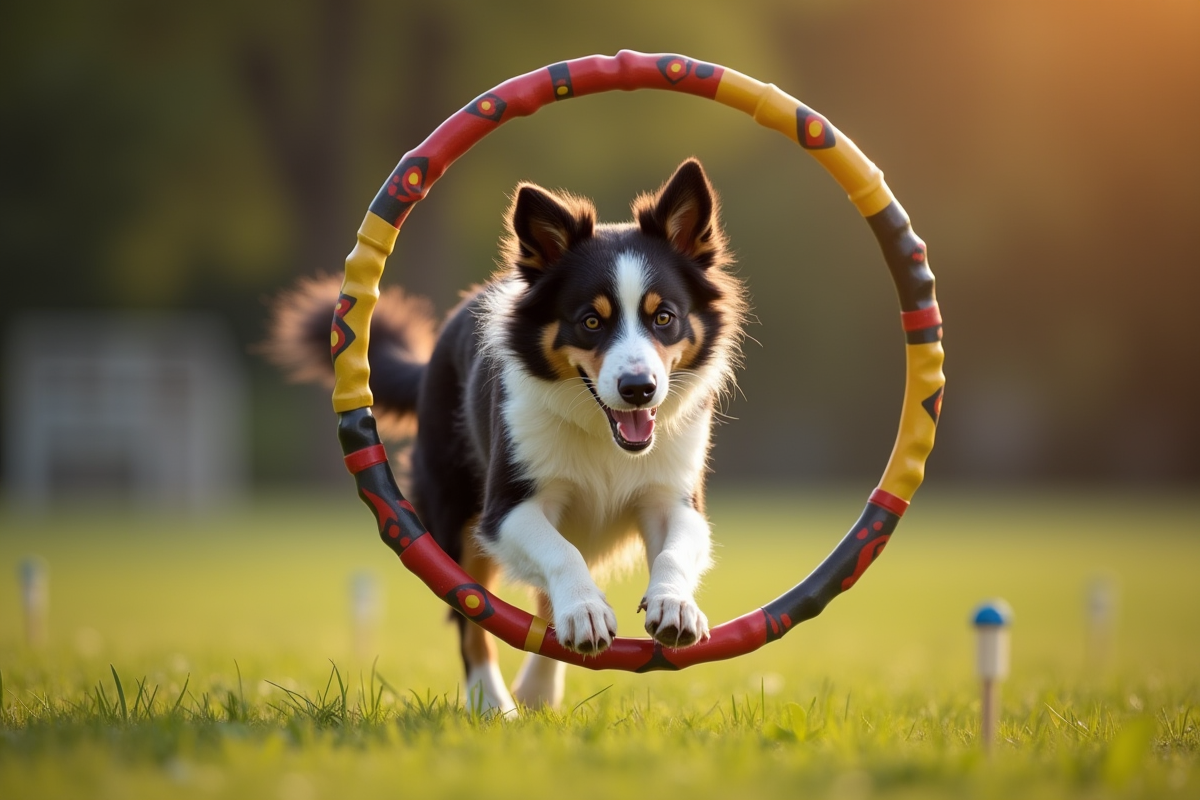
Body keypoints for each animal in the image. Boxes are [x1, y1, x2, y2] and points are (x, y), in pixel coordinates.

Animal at [267, 155, 744, 714]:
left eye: (663, 317)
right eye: (590, 322)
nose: (638, 389)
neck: (602, 434)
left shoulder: (672, 497)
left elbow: (676, 548)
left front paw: (674, 606)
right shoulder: (506, 508)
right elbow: (559, 557)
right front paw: (585, 612)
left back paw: (538, 689)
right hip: (454, 518)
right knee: (471, 617)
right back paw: (492, 701)